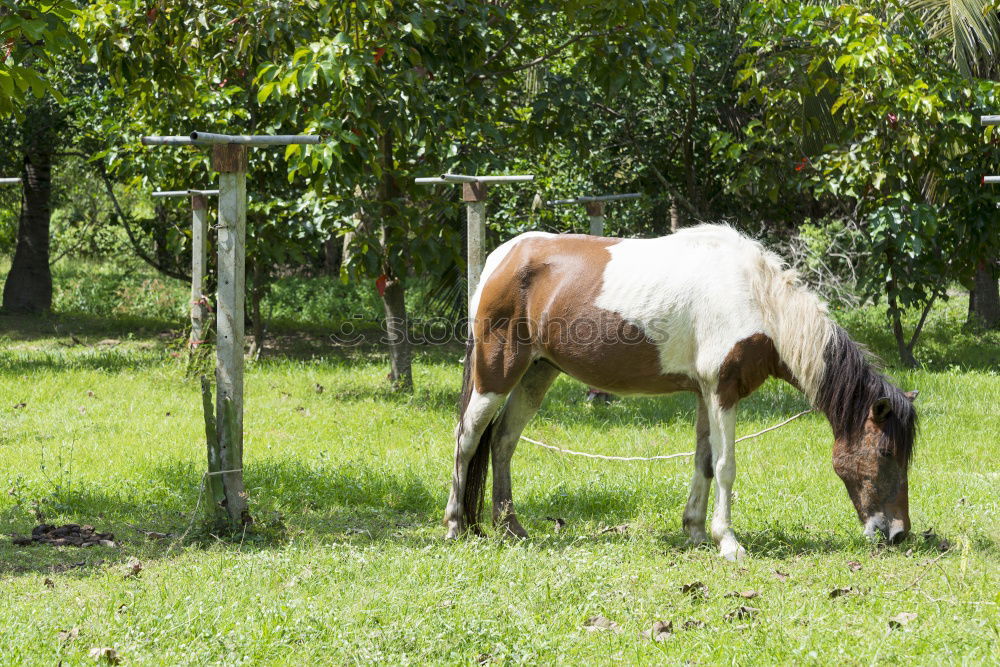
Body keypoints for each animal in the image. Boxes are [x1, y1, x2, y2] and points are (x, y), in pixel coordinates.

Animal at [450, 224, 916, 560]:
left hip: (537, 374)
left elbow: (704, 461)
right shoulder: (723, 391)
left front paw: (695, 531)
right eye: (885, 452)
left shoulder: (705, 393)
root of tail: (499, 260)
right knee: (468, 439)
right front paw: (728, 542)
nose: (897, 534)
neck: (757, 300)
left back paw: (511, 528)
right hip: (495, 374)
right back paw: (456, 526)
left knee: (503, 441)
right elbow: (726, 466)